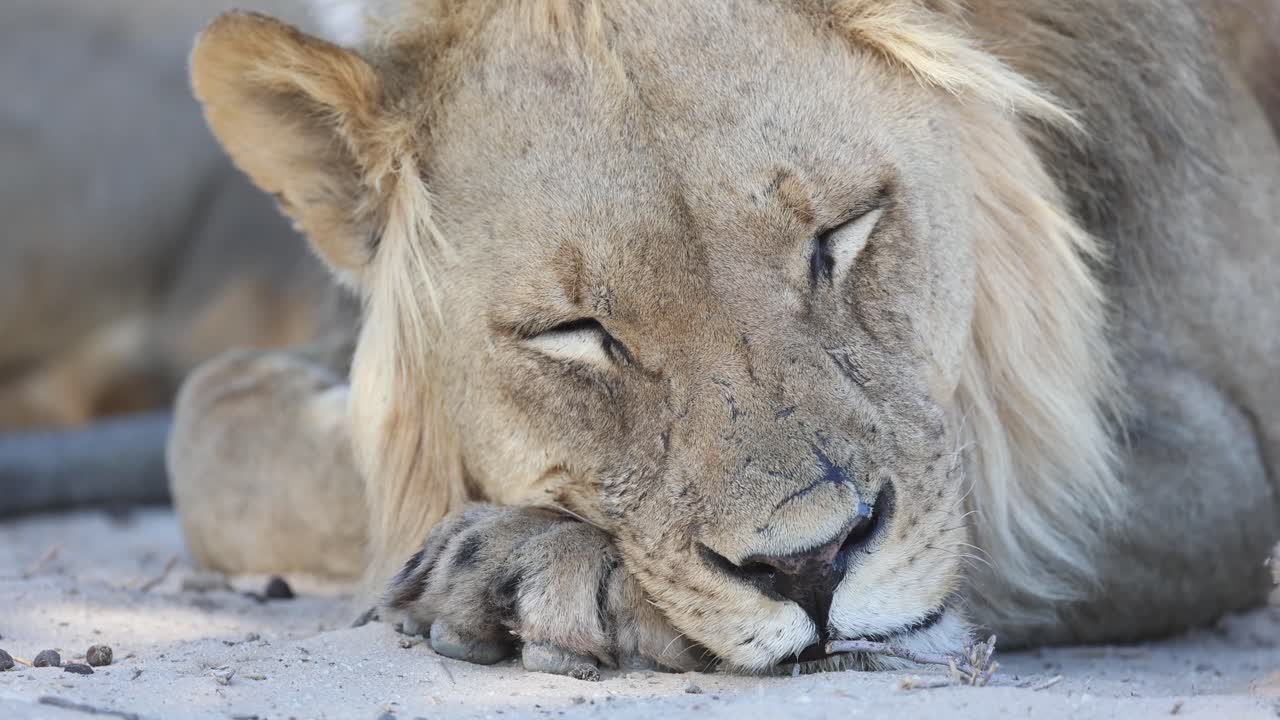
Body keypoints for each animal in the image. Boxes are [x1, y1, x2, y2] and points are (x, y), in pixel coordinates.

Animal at [171, 0, 1280, 675]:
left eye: (840, 235)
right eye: (576, 333)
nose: (812, 566)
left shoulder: (1216, 460)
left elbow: (991, 521)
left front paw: (529, 572)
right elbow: (210, 436)